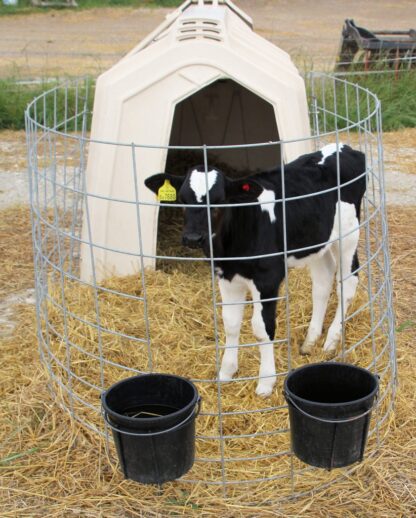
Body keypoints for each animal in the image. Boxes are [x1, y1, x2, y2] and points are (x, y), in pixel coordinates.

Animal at [145, 145, 366, 398]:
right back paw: (310, 341)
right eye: (183, 199)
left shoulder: (267, 278)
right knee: (322, 281)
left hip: (348, 235)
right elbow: (230, 323)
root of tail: (344, 147)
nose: (193, 238)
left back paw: (330, 341)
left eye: (219, 201)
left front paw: (265, 383)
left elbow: (262, 328)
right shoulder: (227, 277)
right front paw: (226, 372)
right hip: (318, 241)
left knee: (348, 283)